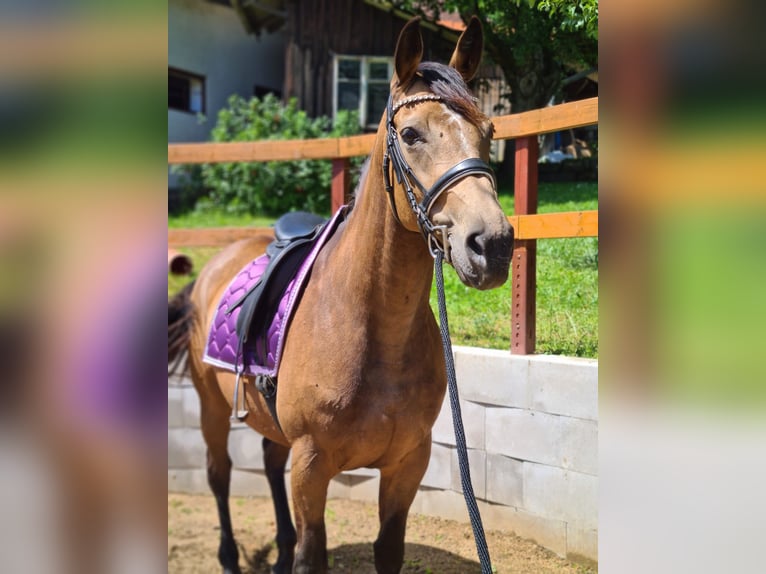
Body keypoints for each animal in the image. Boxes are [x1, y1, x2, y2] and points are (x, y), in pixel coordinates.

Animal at [169, 15, 516, 572]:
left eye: (489, 133)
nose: (493, 245)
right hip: (211, 407)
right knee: (218, 473)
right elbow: (313, 553)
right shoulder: (313, 466)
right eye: (410, 134)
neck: (372, 328)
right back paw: (228, 555)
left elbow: (388, 550)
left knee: (268, 463)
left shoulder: (407, 464)